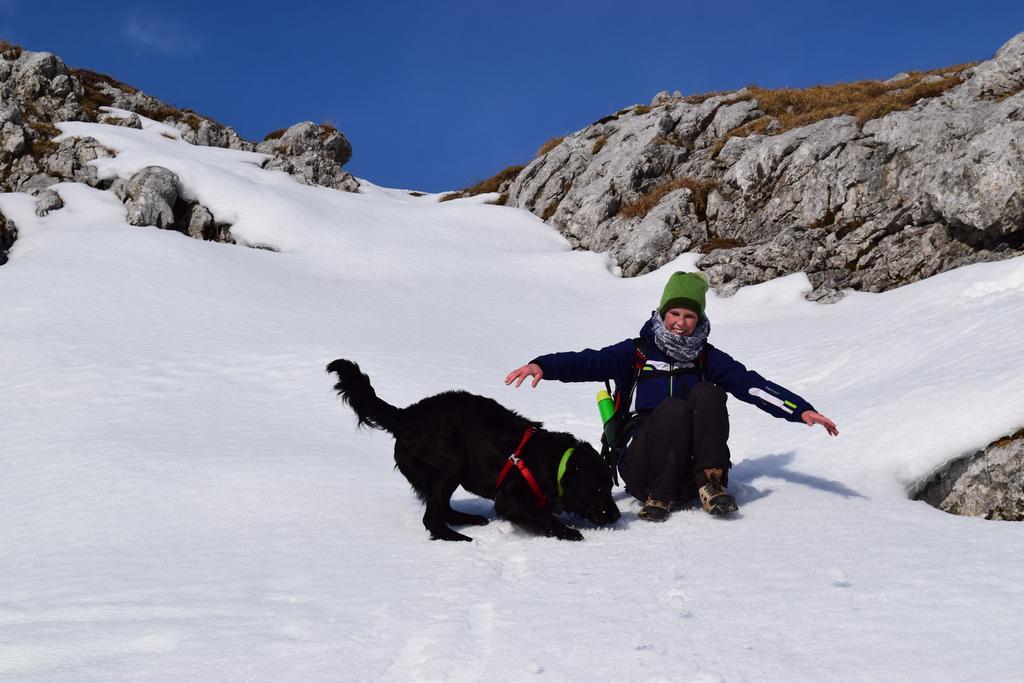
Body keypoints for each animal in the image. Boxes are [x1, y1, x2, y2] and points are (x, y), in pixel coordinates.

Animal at [323, 360, 618, 540]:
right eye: (599, 490)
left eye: (609, 487)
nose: (615, 516)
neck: (554, 463)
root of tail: (405, 416)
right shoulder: (510, 499)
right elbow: (542, 516)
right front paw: (568, 532)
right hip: (450, 463)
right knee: (432, 516)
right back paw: (456, 536)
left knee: (441, 507)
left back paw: (470, 520)